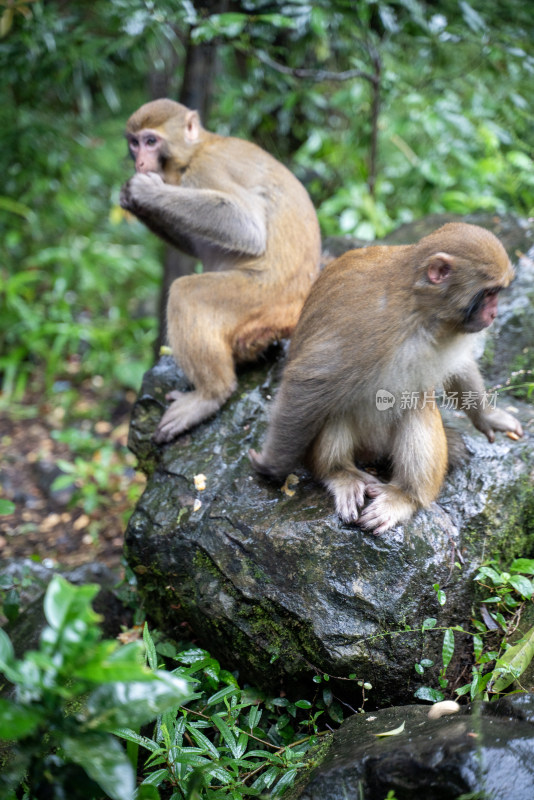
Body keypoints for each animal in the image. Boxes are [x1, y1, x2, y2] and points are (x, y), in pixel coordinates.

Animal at [120, 100, 322, 444]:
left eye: (151, 141)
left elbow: (248, 228)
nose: (141, 161)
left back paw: (211, 395)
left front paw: (146, 193)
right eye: (134, 143)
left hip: (258, 299)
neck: (195, 150)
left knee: (186, 294)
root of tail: (295, 310)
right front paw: (132, 200)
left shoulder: (206, 169)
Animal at [250, 222, 524, 536]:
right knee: (334, 407)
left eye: (497, 292)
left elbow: (460, 366)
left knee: (416, 405)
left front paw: (488, 417)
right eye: (489, 293)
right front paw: (273, 466)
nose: (494, 314)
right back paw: (339, 473)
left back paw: (405, 496)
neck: (420, 310)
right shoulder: (366, 323)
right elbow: (306, 383)